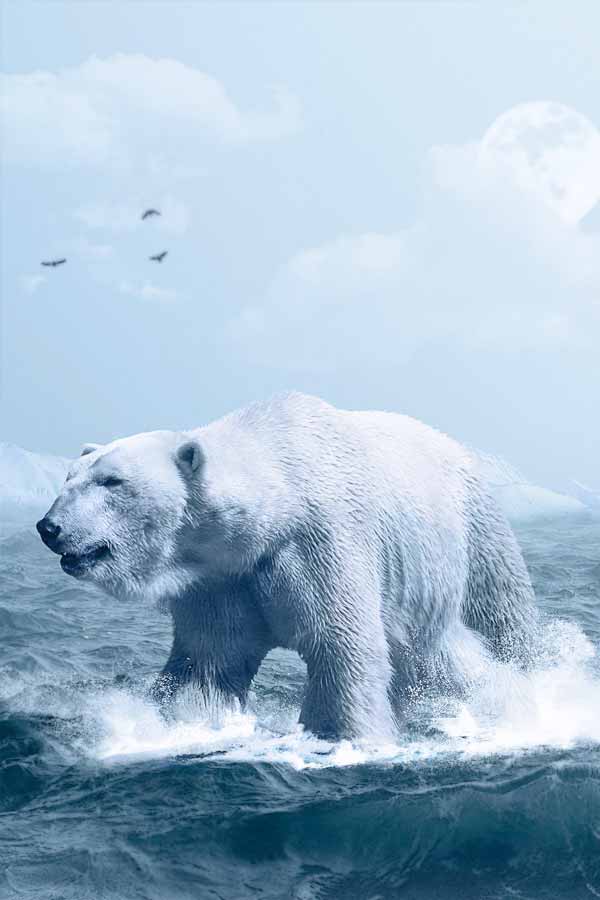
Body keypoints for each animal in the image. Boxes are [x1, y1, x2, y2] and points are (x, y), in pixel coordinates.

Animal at [36, 392, 536, 740]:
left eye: (112, 481)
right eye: (69, 477)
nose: (49, 527)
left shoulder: (320, 543)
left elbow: (340, 644)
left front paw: (340, 736)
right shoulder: (222, 578)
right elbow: (208, 660)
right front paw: (182, 722)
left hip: (470, 532)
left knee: (495, 618)